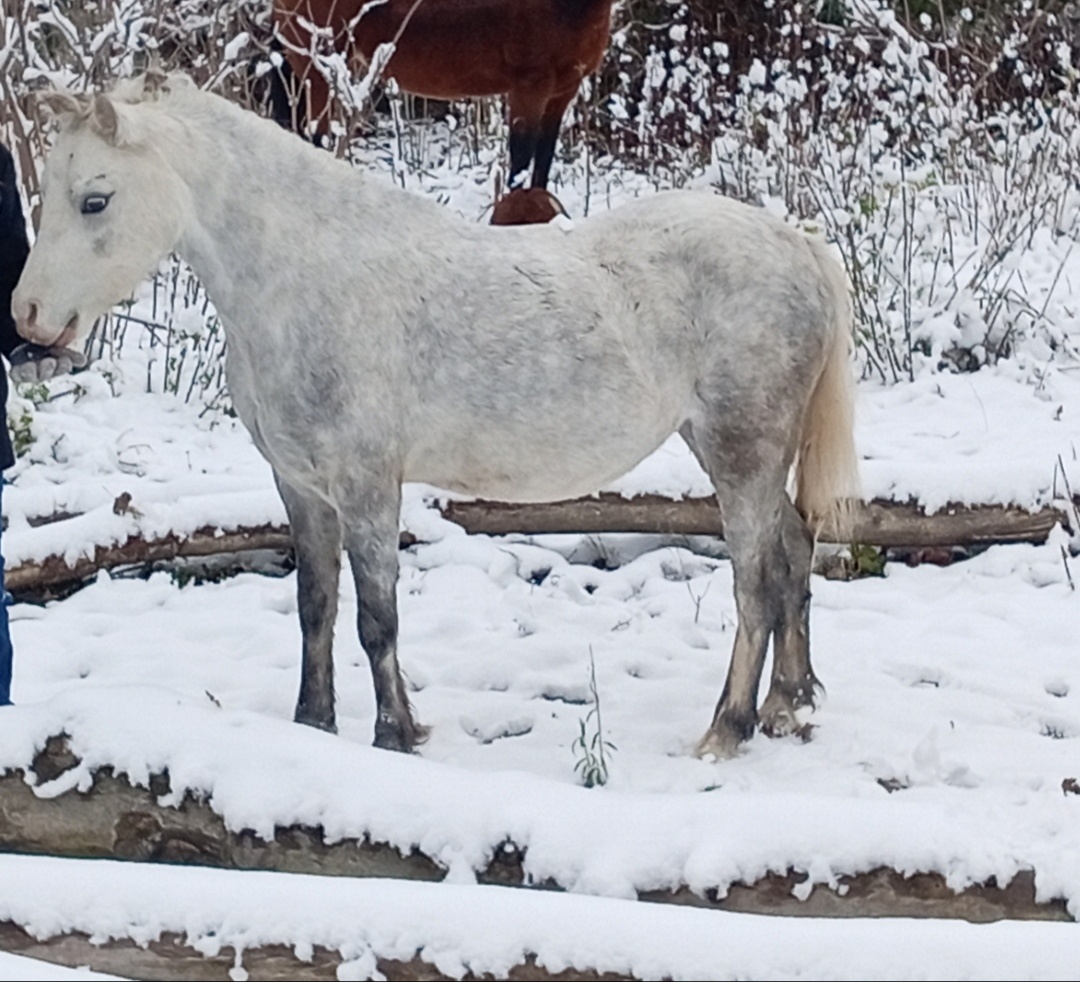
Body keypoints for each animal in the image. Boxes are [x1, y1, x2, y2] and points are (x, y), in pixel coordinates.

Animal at [14, 74, 859, 759]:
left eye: (95, 199)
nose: (28, 316)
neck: (304, 278)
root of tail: (796, 244)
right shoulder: (301, 487)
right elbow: (315, 607)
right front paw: (312, 726)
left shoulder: (366, 486)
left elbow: (376, 617)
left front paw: (395, 735)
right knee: (792, 556)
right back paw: (788, 707)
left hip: (740, 455)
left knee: (754, 584)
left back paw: (727, 730)